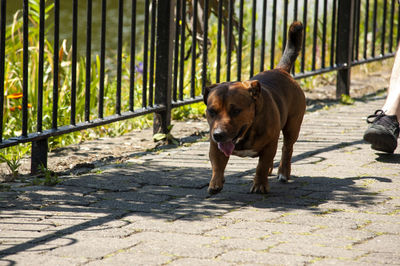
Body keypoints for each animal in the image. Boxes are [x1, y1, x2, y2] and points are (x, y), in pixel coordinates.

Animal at [205, 21, 304, 194]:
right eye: (211, 111)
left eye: (236, 111)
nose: (218, 134)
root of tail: (281, 70)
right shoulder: (215, 146)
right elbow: (217, 164)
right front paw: (215, 182)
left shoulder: (270, 145)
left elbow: (261, 166)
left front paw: (260, 184)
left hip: (292, 126)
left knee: (287, 148)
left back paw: (283, 172)